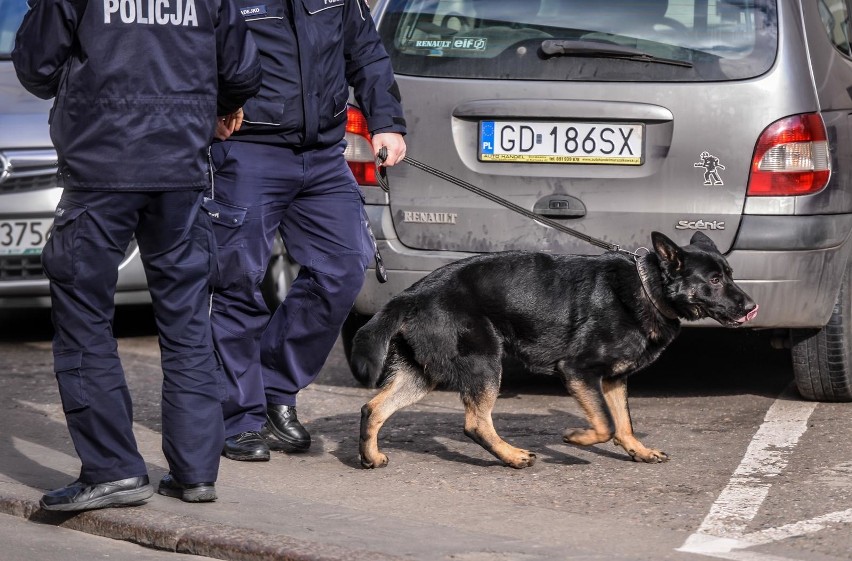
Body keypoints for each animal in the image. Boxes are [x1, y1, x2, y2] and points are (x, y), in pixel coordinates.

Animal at [350, 232, 756, 468]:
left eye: (731, 274)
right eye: (714, 280)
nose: (751, 306)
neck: (648, 287)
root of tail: (411, 295)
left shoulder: (613, 380)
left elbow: (623, 422)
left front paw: (638, 450)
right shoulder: (577, 371)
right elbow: (606, 424)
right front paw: (577, 438)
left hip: (422, 375)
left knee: (373, 408)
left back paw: (369, 456)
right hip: (485, 364)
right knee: (475, 423)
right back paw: (512, 456)